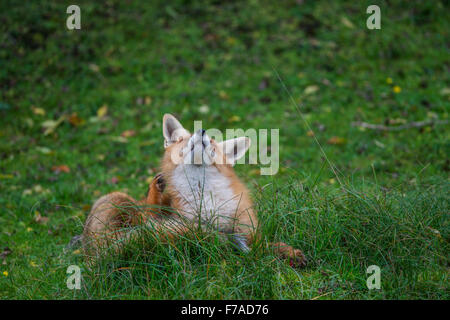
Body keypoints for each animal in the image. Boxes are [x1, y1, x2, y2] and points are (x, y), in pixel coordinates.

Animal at [80, 114, 306, 266]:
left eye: (212, 141)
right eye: (182, 139)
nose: (202, 131)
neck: (204, 201)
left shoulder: (247, 230)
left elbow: (266, 244)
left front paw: (289, 252)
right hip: (116, 200)